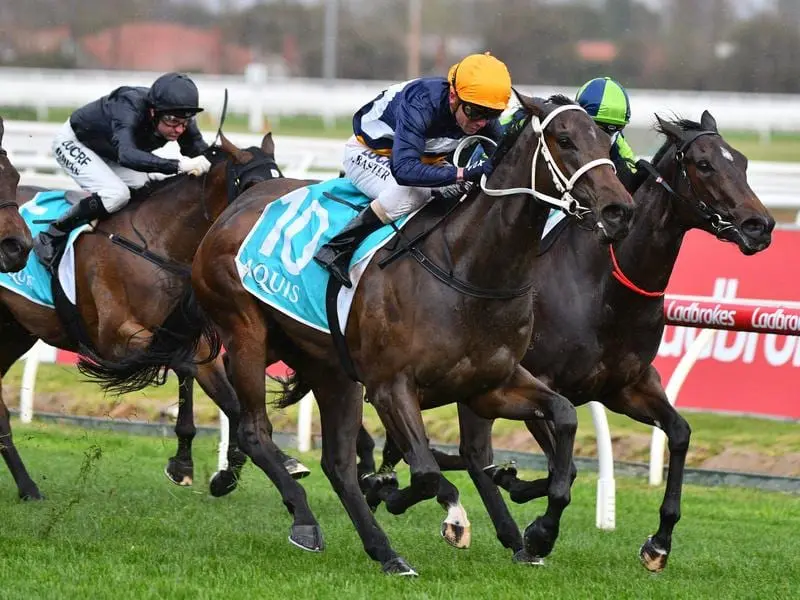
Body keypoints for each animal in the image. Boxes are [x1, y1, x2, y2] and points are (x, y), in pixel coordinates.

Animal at [0, 132, 282, 502]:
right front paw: (186, 462)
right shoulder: (114, 340)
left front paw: (225, 474)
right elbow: (181, 365)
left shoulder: (192, 341)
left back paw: (28, 487)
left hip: (15, 332)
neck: (157, 242)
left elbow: (231, 401)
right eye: (249, 186)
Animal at [183, 95, 636, 576]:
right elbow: (426, 471)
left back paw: (385, 551)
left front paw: (540, 534)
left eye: (606, 139)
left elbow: (564, 417)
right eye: (564, 139)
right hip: (247, 332)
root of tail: (234, 209)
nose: (619, 211)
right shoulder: (391, 386)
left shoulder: (488, 385)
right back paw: (305, 518)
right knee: (254, 429)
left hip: (329, 368)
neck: (468, 267)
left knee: (337, 463)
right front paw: (401, 495)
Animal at [368, 108, 776, 572]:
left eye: (742, 162)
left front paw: (659, 543)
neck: (602, 284)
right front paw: (537, 526)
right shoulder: (538, 380)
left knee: (460, 452)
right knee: (469, 452)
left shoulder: (626, 386)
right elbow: (565, 468)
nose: (760, 225)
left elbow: (680, 432)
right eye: (704, 164)